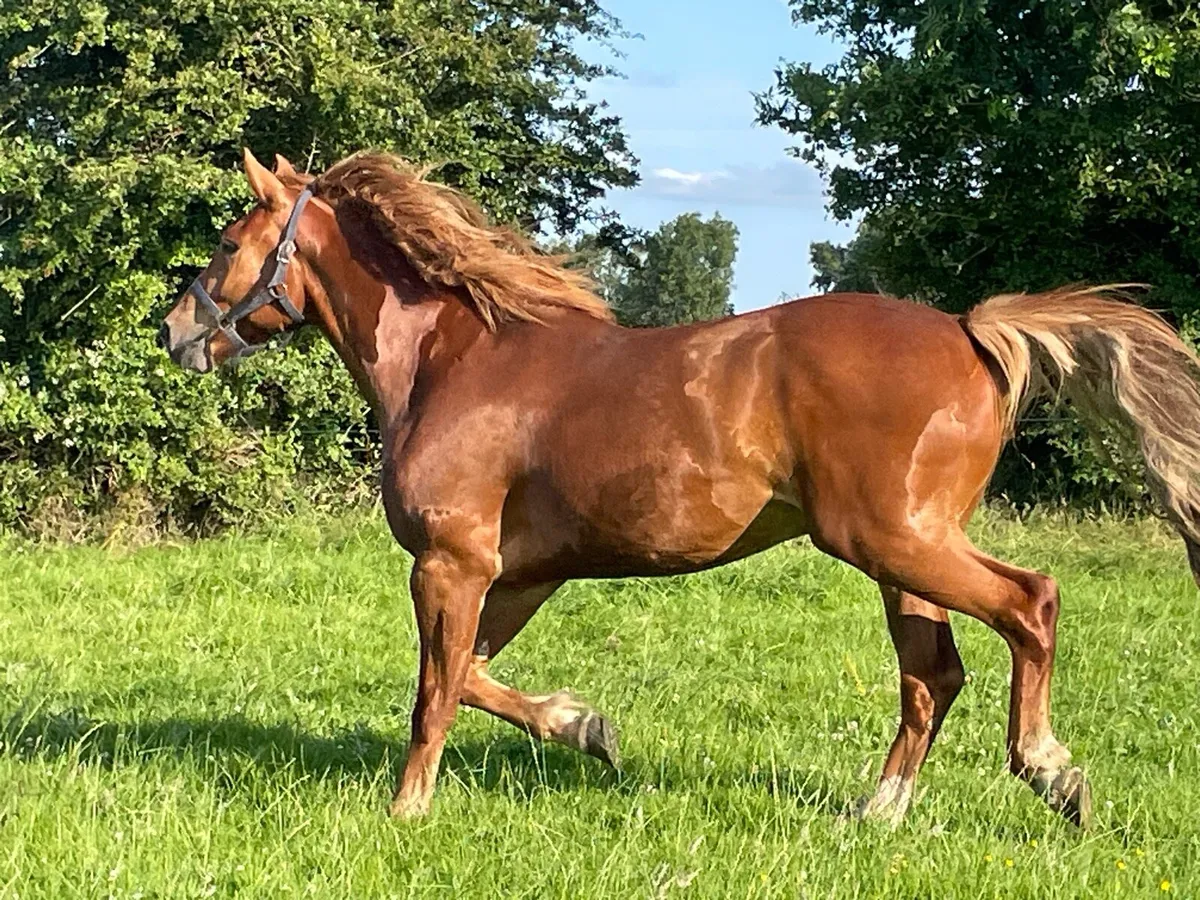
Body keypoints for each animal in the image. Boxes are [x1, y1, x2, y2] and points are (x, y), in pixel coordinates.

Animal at [161, 148, 1200, 827]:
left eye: (227, 243)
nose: (175, 332)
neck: (451, 363)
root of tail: (970, 331)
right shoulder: (520, 574)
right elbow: (476, 679)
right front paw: (588, 728)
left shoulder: (451, 563)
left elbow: (433, 691)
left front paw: (407, 810)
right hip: (904, 554)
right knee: (933, 675)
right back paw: (877, 814)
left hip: (894, 540)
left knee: (1031, 603)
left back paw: (1053, 773)